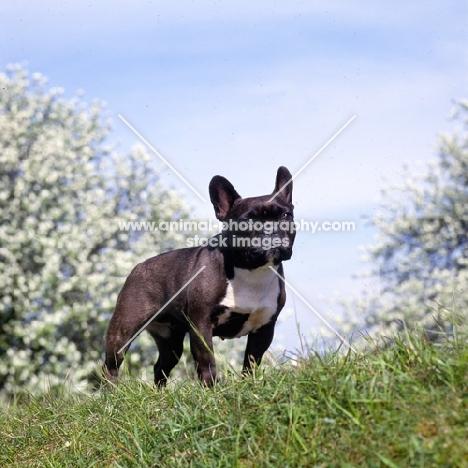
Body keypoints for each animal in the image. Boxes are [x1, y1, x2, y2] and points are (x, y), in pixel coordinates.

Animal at [105, 166, 296, 386]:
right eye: (247, 221)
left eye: (286, 215)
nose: (270, 229)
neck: (251, 270)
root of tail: (138, 267)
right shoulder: (201, 324)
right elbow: (206, 360)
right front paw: (211, 389)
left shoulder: (264, 328)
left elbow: (251, 361)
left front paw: (249, 384)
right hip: (123, 330)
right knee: (111, 366)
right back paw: (111, 392)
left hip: (170, 339)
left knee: (161, 367)